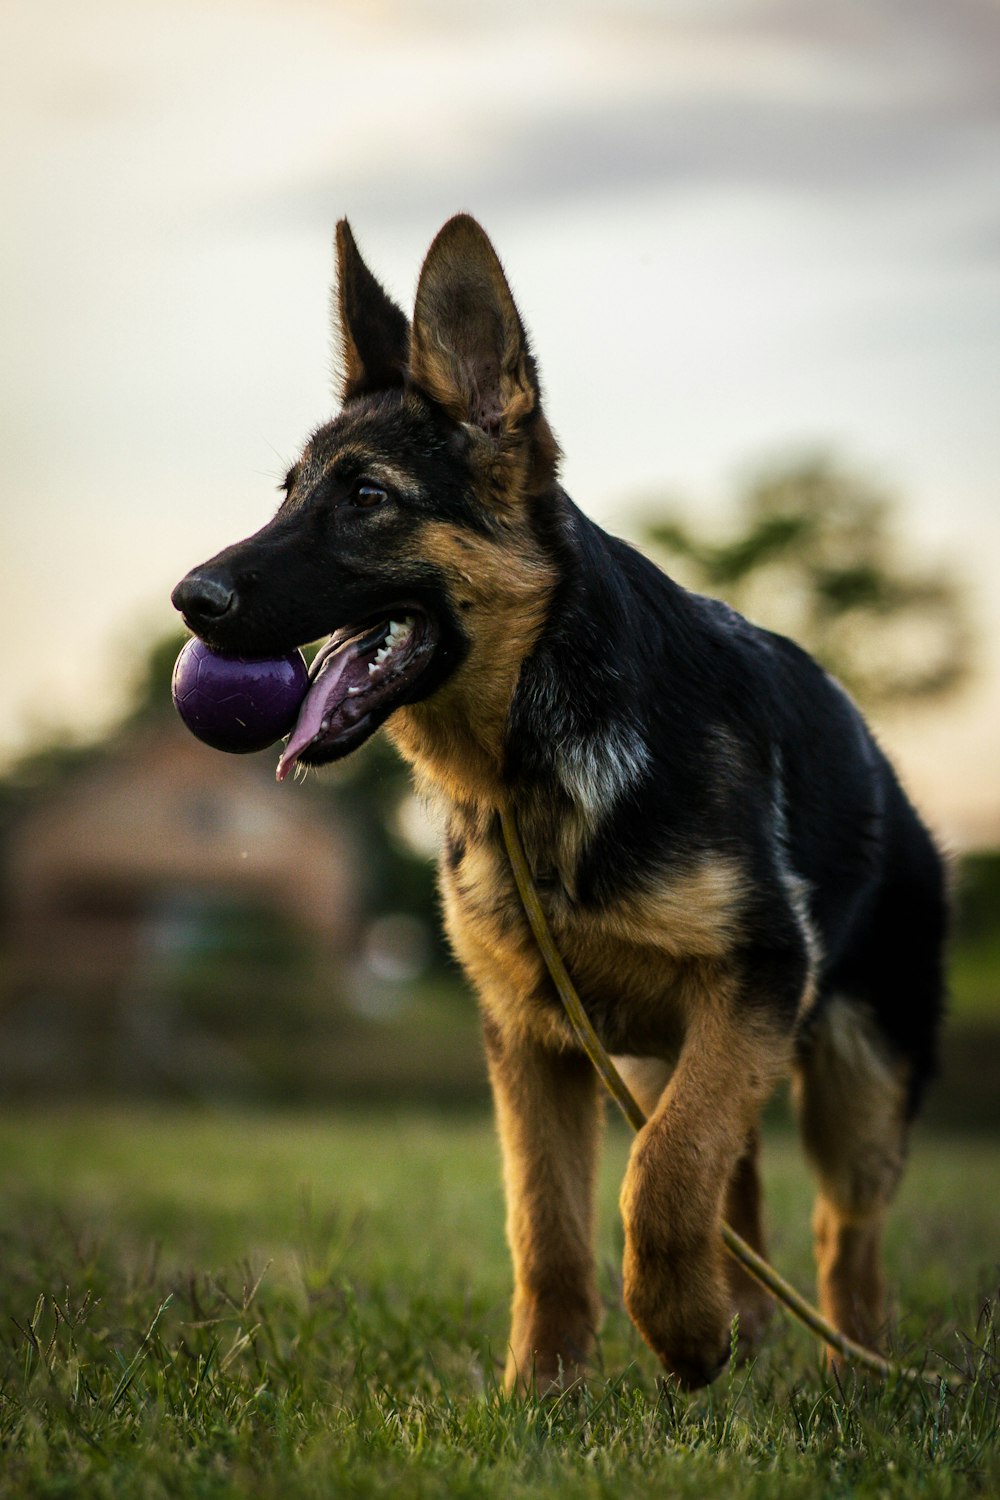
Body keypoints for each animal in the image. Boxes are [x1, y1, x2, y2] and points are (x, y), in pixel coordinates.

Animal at [172, 214, 947, 1392]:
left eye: (366, 499)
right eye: (288, 493)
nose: (190, 599)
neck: (526, 767)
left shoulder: (754, 979)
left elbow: (662, 1176)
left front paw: (679, 1331)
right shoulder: (533, 1039)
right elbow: (549, 1222)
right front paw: (545, 1391)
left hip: (854, 1078)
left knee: (838, 1230)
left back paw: (849, 1368)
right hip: (672, 1055)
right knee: (742, 1179)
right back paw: (752, 1331)